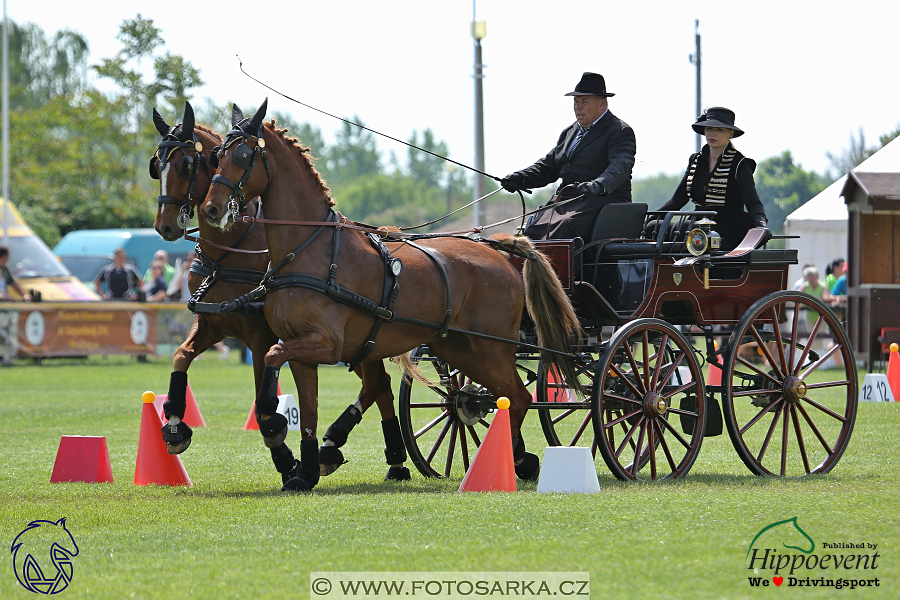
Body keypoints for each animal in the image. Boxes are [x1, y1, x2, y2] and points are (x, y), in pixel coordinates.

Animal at [152, 101, 412, 480]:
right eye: (157, 164)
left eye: (187, 164)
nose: (165, 225)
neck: (230, 251)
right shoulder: (212, 323)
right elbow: (181, 356)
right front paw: (174, 422)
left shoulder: (261, 335)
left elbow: (263, 401)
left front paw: (286, 456)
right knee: (378, 384)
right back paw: (355, 449)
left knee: (378, 384)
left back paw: (381, 455)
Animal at [198, 99, 580, 492]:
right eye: (216, 155)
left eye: (243, 155)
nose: (211, 208)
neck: (309, 249)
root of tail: (498, 250)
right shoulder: (301, 350)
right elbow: (308, 412)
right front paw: (304, 470)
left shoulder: (326, 344)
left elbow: (273, 357)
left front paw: (274, 423)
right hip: (460, 348)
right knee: (498, 397)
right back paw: (517, 459)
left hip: (492, 348)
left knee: (517, 398)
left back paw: (504, 462)